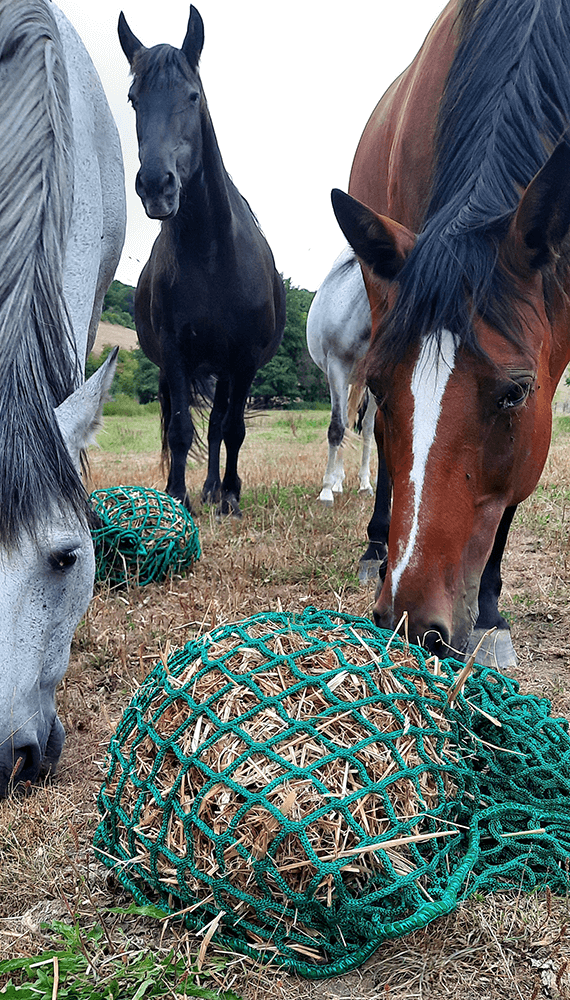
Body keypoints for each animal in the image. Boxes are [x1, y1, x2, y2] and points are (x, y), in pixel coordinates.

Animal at [306, 246, 372, 504]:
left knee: (366, 427)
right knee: (345, 421)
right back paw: (337, 482)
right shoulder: (336, 368)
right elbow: (337, 427)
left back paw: (364, 483)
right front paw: (326, 490)